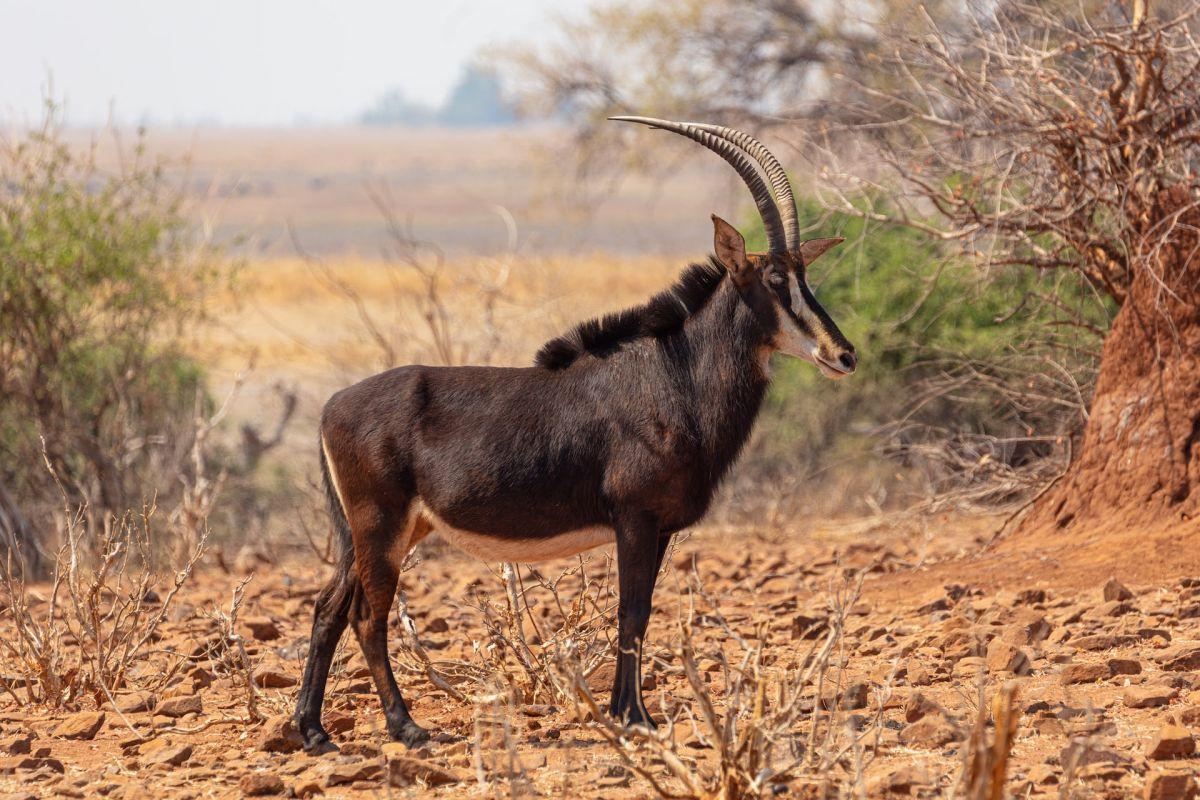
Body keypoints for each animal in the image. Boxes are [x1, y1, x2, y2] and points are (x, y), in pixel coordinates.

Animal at [291, 115, 859, 753]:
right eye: (773, 277)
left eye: (806, 275)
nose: (844, 354)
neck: (673, 375)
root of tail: (332, 407)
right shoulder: (634, 519)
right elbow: (631, 613)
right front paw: (633, 717)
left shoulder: (660, 529)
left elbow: (641, 611)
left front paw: (630, 712)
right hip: (381, 526)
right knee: (367, 616)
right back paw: (405, 726)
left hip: (377, 532)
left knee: (328, 607)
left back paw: (314, 731)